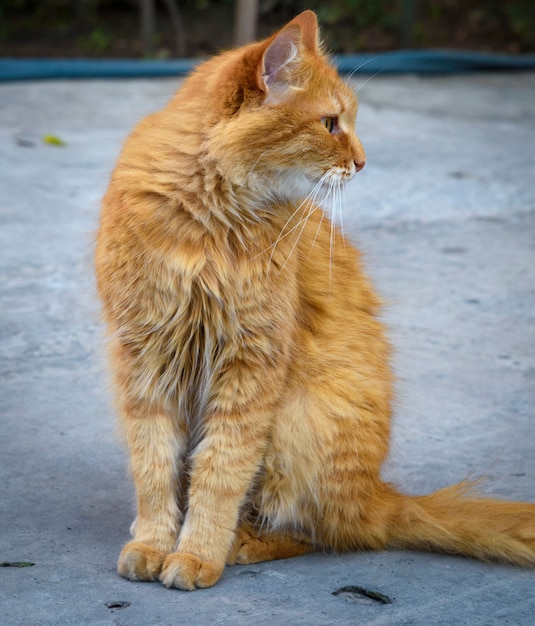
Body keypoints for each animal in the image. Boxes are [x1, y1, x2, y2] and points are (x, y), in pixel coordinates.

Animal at [96, 9, 535, 588]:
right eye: (330, 125)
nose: (363, 162)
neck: (206, 221)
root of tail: (378, 495)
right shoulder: (145, 360)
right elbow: (154, 469)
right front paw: (151, 543)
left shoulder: (250, 365)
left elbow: (218, 473)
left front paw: (196, 555)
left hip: (300, 417)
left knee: (317, 533)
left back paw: (240, 543)